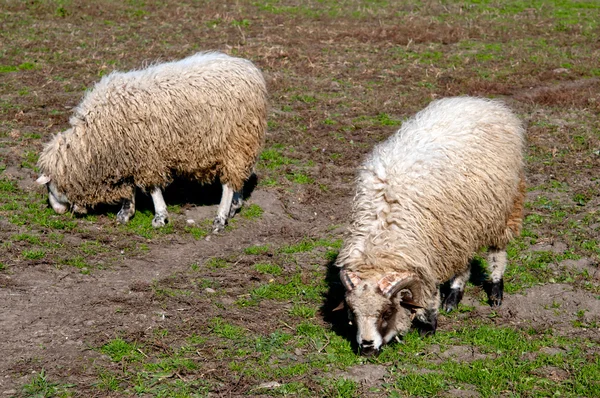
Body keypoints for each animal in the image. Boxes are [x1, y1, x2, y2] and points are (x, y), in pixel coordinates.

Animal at [37, 52, 268, 233]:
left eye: (50, 185)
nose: (58, 211)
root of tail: (250, 69)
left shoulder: (147, 154)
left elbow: (153, 188)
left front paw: (159, 216)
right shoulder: (128, 156)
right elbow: (129, 187)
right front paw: (126, 212)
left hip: (236, 140)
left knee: (228, 184)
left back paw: (220, 217)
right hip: (242, 145)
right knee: (237, 176)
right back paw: (235, 206)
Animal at [338, 97, 524, 358]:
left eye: (387, 313)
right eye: (353, 313)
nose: (366, 347)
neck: (382, 236)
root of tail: (478, 101)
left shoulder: (429, 258)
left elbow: (429, 293)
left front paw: (428, 325)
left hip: (504, 206)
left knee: (497, 250)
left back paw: (496, 291)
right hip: (460, 227)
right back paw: (453, 297)